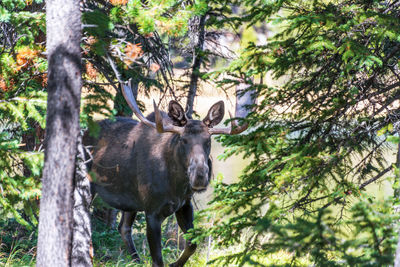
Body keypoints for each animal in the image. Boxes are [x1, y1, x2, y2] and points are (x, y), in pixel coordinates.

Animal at [85, 82, 253, 266]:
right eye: (183, 140)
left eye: (208, 140)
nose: (200, 176)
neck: (175, 185)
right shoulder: (152, 211)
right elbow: (158, 259)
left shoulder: (184, 204)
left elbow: (192, 243)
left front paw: (175, 263)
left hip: (131, 199)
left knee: (123, 227)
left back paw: (136, 261)